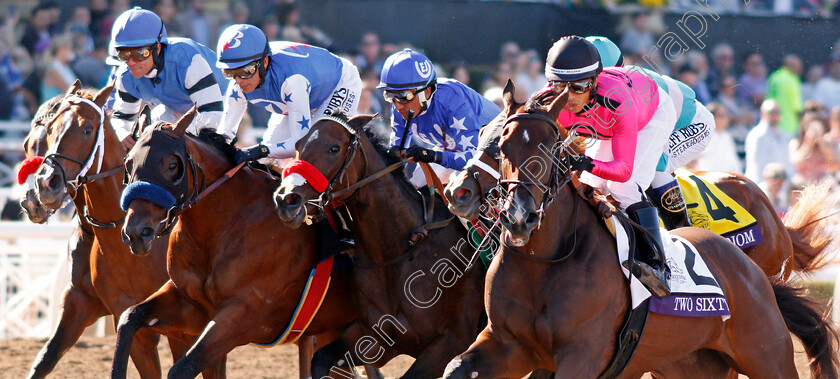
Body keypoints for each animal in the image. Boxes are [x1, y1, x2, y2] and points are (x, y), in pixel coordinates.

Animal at [32, 81, 223, 378]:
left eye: (87, 129)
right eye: (50, 129)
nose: (45, 184)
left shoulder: (182, 324)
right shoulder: (89, 303)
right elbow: (45, 358)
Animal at [116, 110, 372, 379]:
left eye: (172, 165)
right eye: (128, 164)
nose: (136, 232)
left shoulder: (245, 314)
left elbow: (183, 367)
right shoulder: (190, 304)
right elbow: (129, 318)